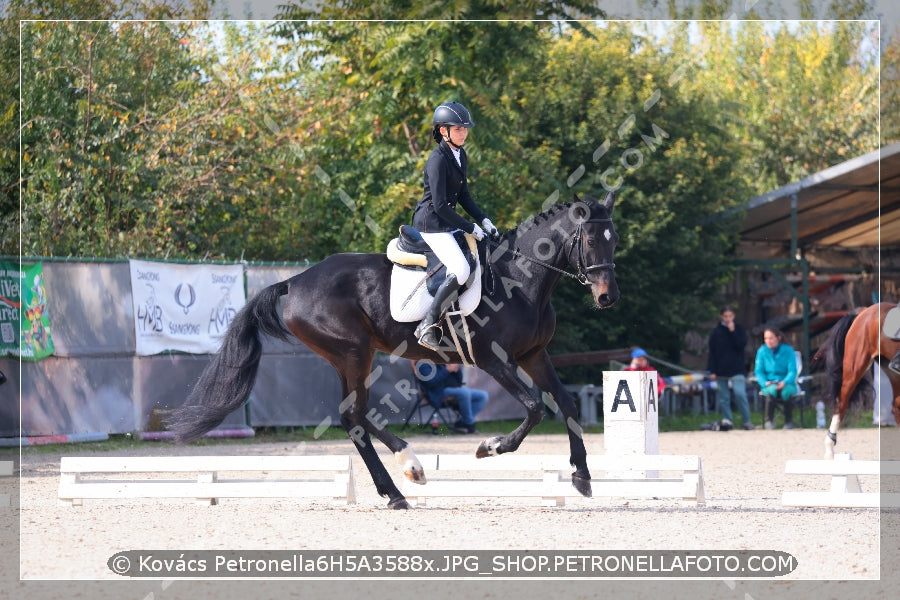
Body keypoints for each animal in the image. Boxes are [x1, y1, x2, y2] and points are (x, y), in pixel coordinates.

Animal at [167, 191, 620, 506]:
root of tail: (294, 282)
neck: (521, 279)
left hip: (351, 357)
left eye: (613, 240)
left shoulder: (533, 355)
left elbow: (566, 404)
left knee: (354, 417)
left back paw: (399, 487)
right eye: (590, 240)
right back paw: (408, 470)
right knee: (353, 416)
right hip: (354, 353)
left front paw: (581, 476)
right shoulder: (492, 358)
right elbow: (535, 407)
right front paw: (489, 447)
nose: (607, 298)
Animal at [816, 304, 900, 460]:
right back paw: (829, 450)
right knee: (841, 403)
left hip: (891, 370)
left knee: (896, 407)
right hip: (855, 367)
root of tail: (865, 311)